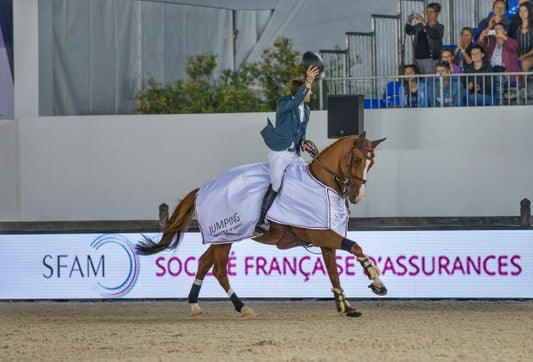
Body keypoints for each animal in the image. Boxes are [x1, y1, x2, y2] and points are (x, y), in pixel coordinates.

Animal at [135, 132, 386, 316]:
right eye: (356, 159)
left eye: (371, 163)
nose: (357, 196)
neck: (321, 184)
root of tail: (201, 189)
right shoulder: (320, 234)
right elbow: (355, 247)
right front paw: (376, 280)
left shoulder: (324, 239)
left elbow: (334, 271)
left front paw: (345, 306)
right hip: (225, 237)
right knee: (219, 271)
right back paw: (242, 307)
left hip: (222, 238)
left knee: (204, 263)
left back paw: (195, 305)